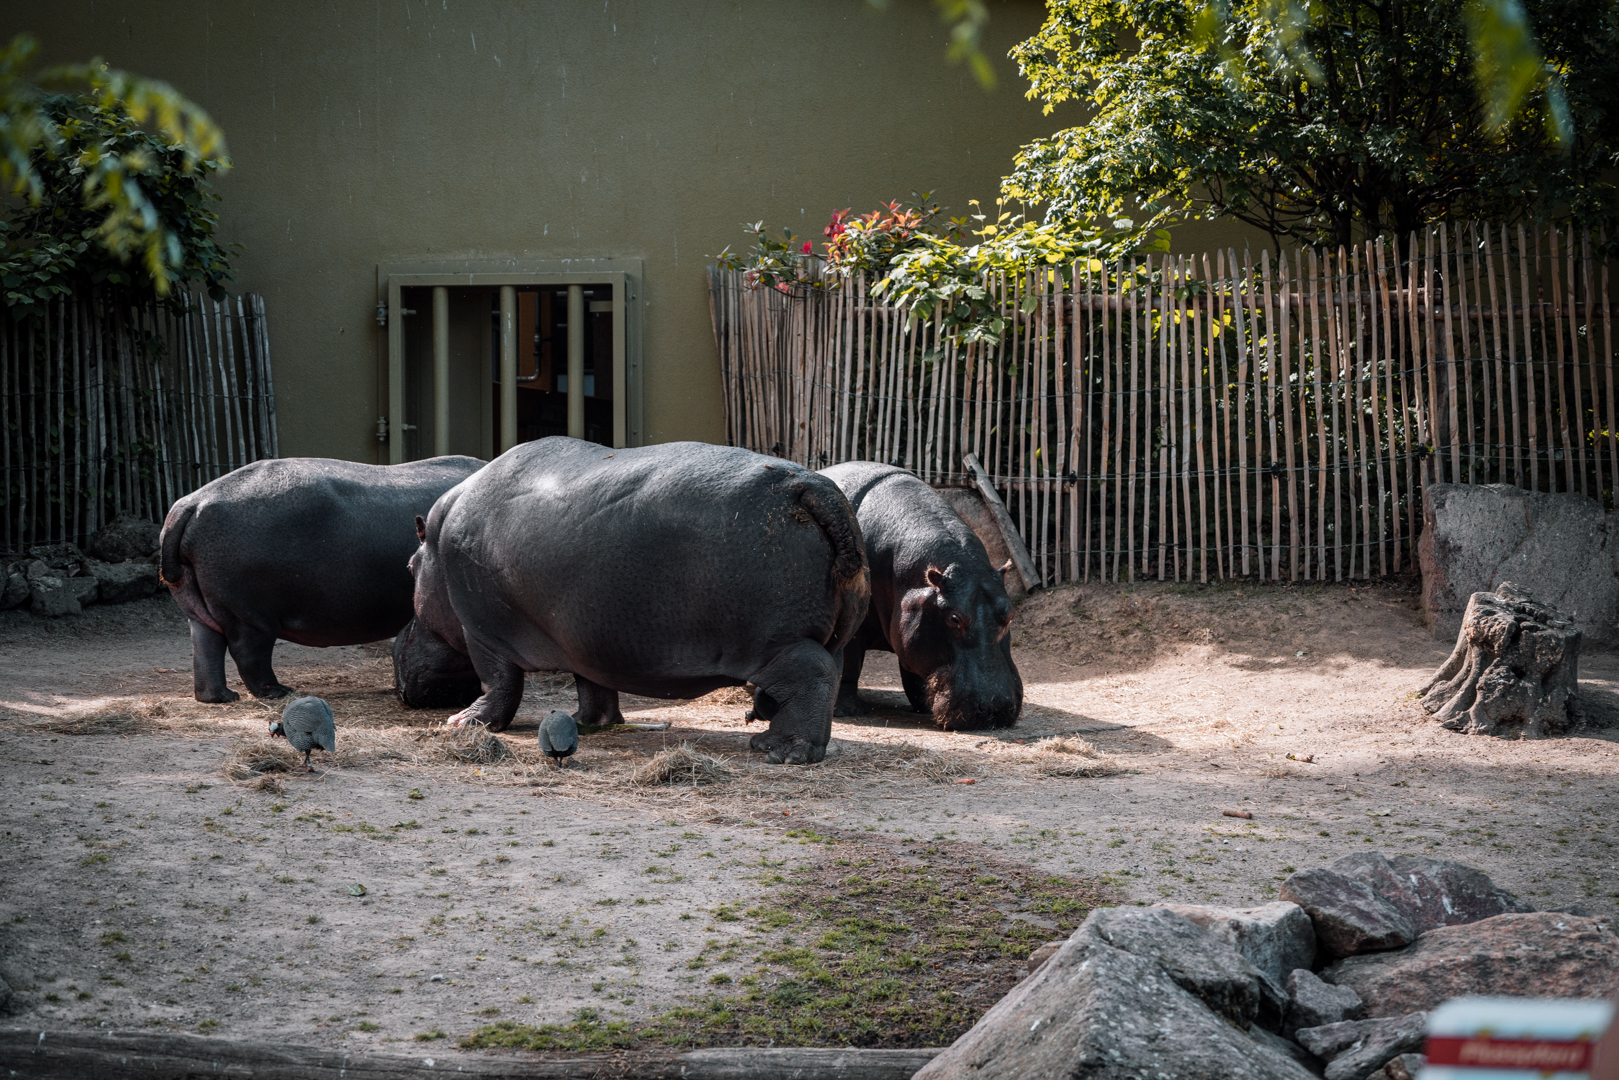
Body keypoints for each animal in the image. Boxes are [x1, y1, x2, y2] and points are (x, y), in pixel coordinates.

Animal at [160, 456, 485, 703]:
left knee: (206, 647)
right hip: (250, 617)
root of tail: (191, 502)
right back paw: (278, 691)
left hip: (201, 608)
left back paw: (221, 697)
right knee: (248, 653)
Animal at [397, 437, 868, 764]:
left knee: (812, 674)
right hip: (830, 636)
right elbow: (593, 685)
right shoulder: (584, 635)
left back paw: (781, 751)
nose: (399, 645)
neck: (435, 540)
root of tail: (810, 486)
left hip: (774, 642)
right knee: (826, 675)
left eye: (408, 567)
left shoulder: (481, 631)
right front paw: (589, 724)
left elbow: (498, 682)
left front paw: (461, 722)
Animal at [820, 461, 1022, 730]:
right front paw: (846, 711)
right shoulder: (856, 626)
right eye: (954, 619)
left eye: (1009, 614)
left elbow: (914, 670)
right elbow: (850, 664)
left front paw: (924, 708)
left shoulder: (913, 623)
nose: (994, 709)